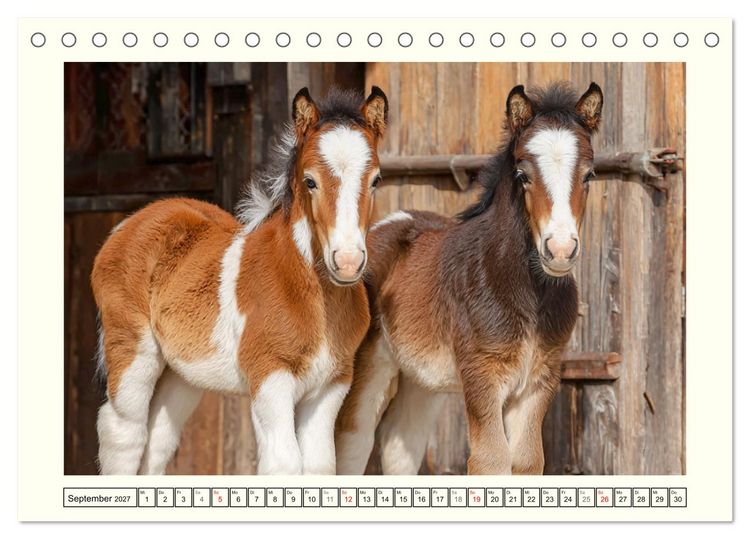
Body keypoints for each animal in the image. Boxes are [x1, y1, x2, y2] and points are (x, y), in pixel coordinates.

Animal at [92, 86, 389, 475]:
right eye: (310, 181)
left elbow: (320, 464)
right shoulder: (269, 377)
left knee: (159, 439)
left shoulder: (332, 383)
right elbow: (284, 463)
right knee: (123, 431)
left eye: (376, 180)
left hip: (182, 373)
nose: (349, 262)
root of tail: (134, 220)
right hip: (132, 347)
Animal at [335, 82, 603, 475]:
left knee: (401, 444)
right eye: (523, 176)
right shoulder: (481, 374)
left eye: (588, 175)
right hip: (368, 366)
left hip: (422, 380)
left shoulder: (540, 380)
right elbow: (490, 459)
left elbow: (527, 460)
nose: (560, 250)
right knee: (354, 440)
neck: (527, 294)